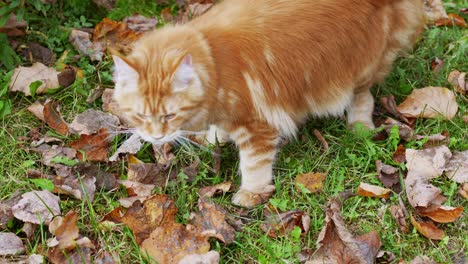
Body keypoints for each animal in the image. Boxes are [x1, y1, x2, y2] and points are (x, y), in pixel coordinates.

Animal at [112, 0, 424, 207]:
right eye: (139, 116)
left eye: (169, 116)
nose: (155, 137)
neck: (213, 61)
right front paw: (215, 136)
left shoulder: (256, 125)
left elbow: (253, 164)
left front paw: (251, 194)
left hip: (356, 68)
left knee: (363, 96)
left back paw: (359, 125)